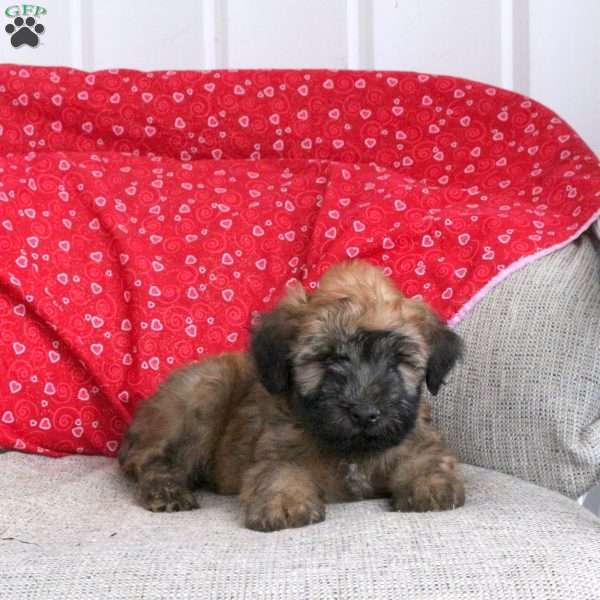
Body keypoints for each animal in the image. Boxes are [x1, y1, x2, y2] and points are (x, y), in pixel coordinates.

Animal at [119, 260, 466, 532]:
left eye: (398, 361)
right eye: (327, 358)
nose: (365, 413)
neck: (351, 450)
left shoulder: (414, 438)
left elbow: (428, 459)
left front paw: (430, 485)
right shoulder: (276, 450)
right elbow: (280, 472)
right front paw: (284, 502)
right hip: (205, 390)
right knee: (150, 460)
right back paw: (166, 490)